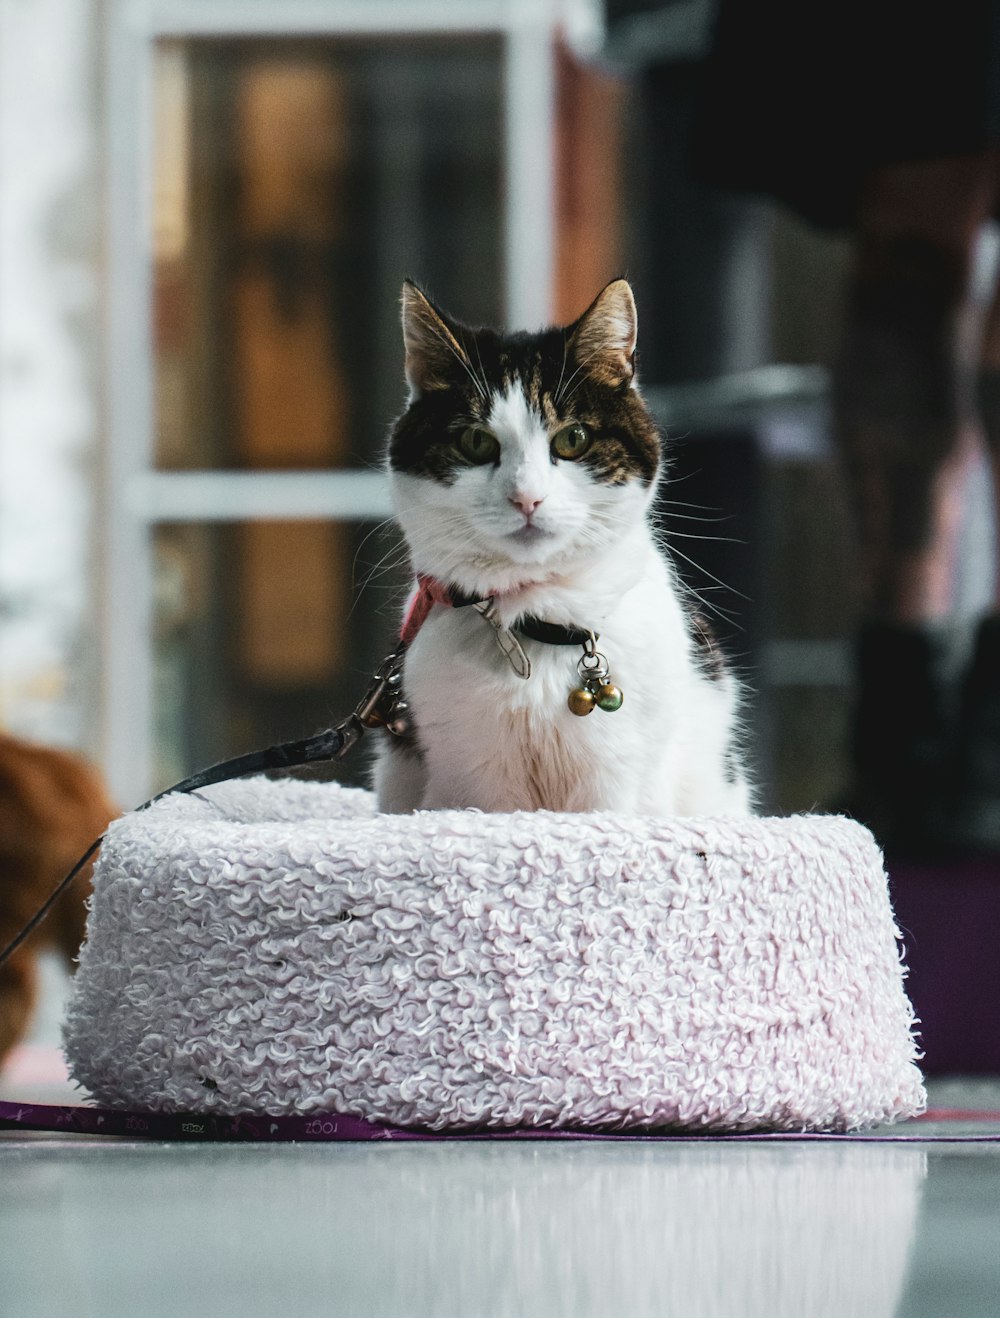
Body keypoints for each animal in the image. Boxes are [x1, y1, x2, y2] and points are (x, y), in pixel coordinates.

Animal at [374, 276, 748, 811]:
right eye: (476, 442)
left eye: (572, 439)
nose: (527, 497)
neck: (536, 618)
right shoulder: (472, 779)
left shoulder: (619, 776)